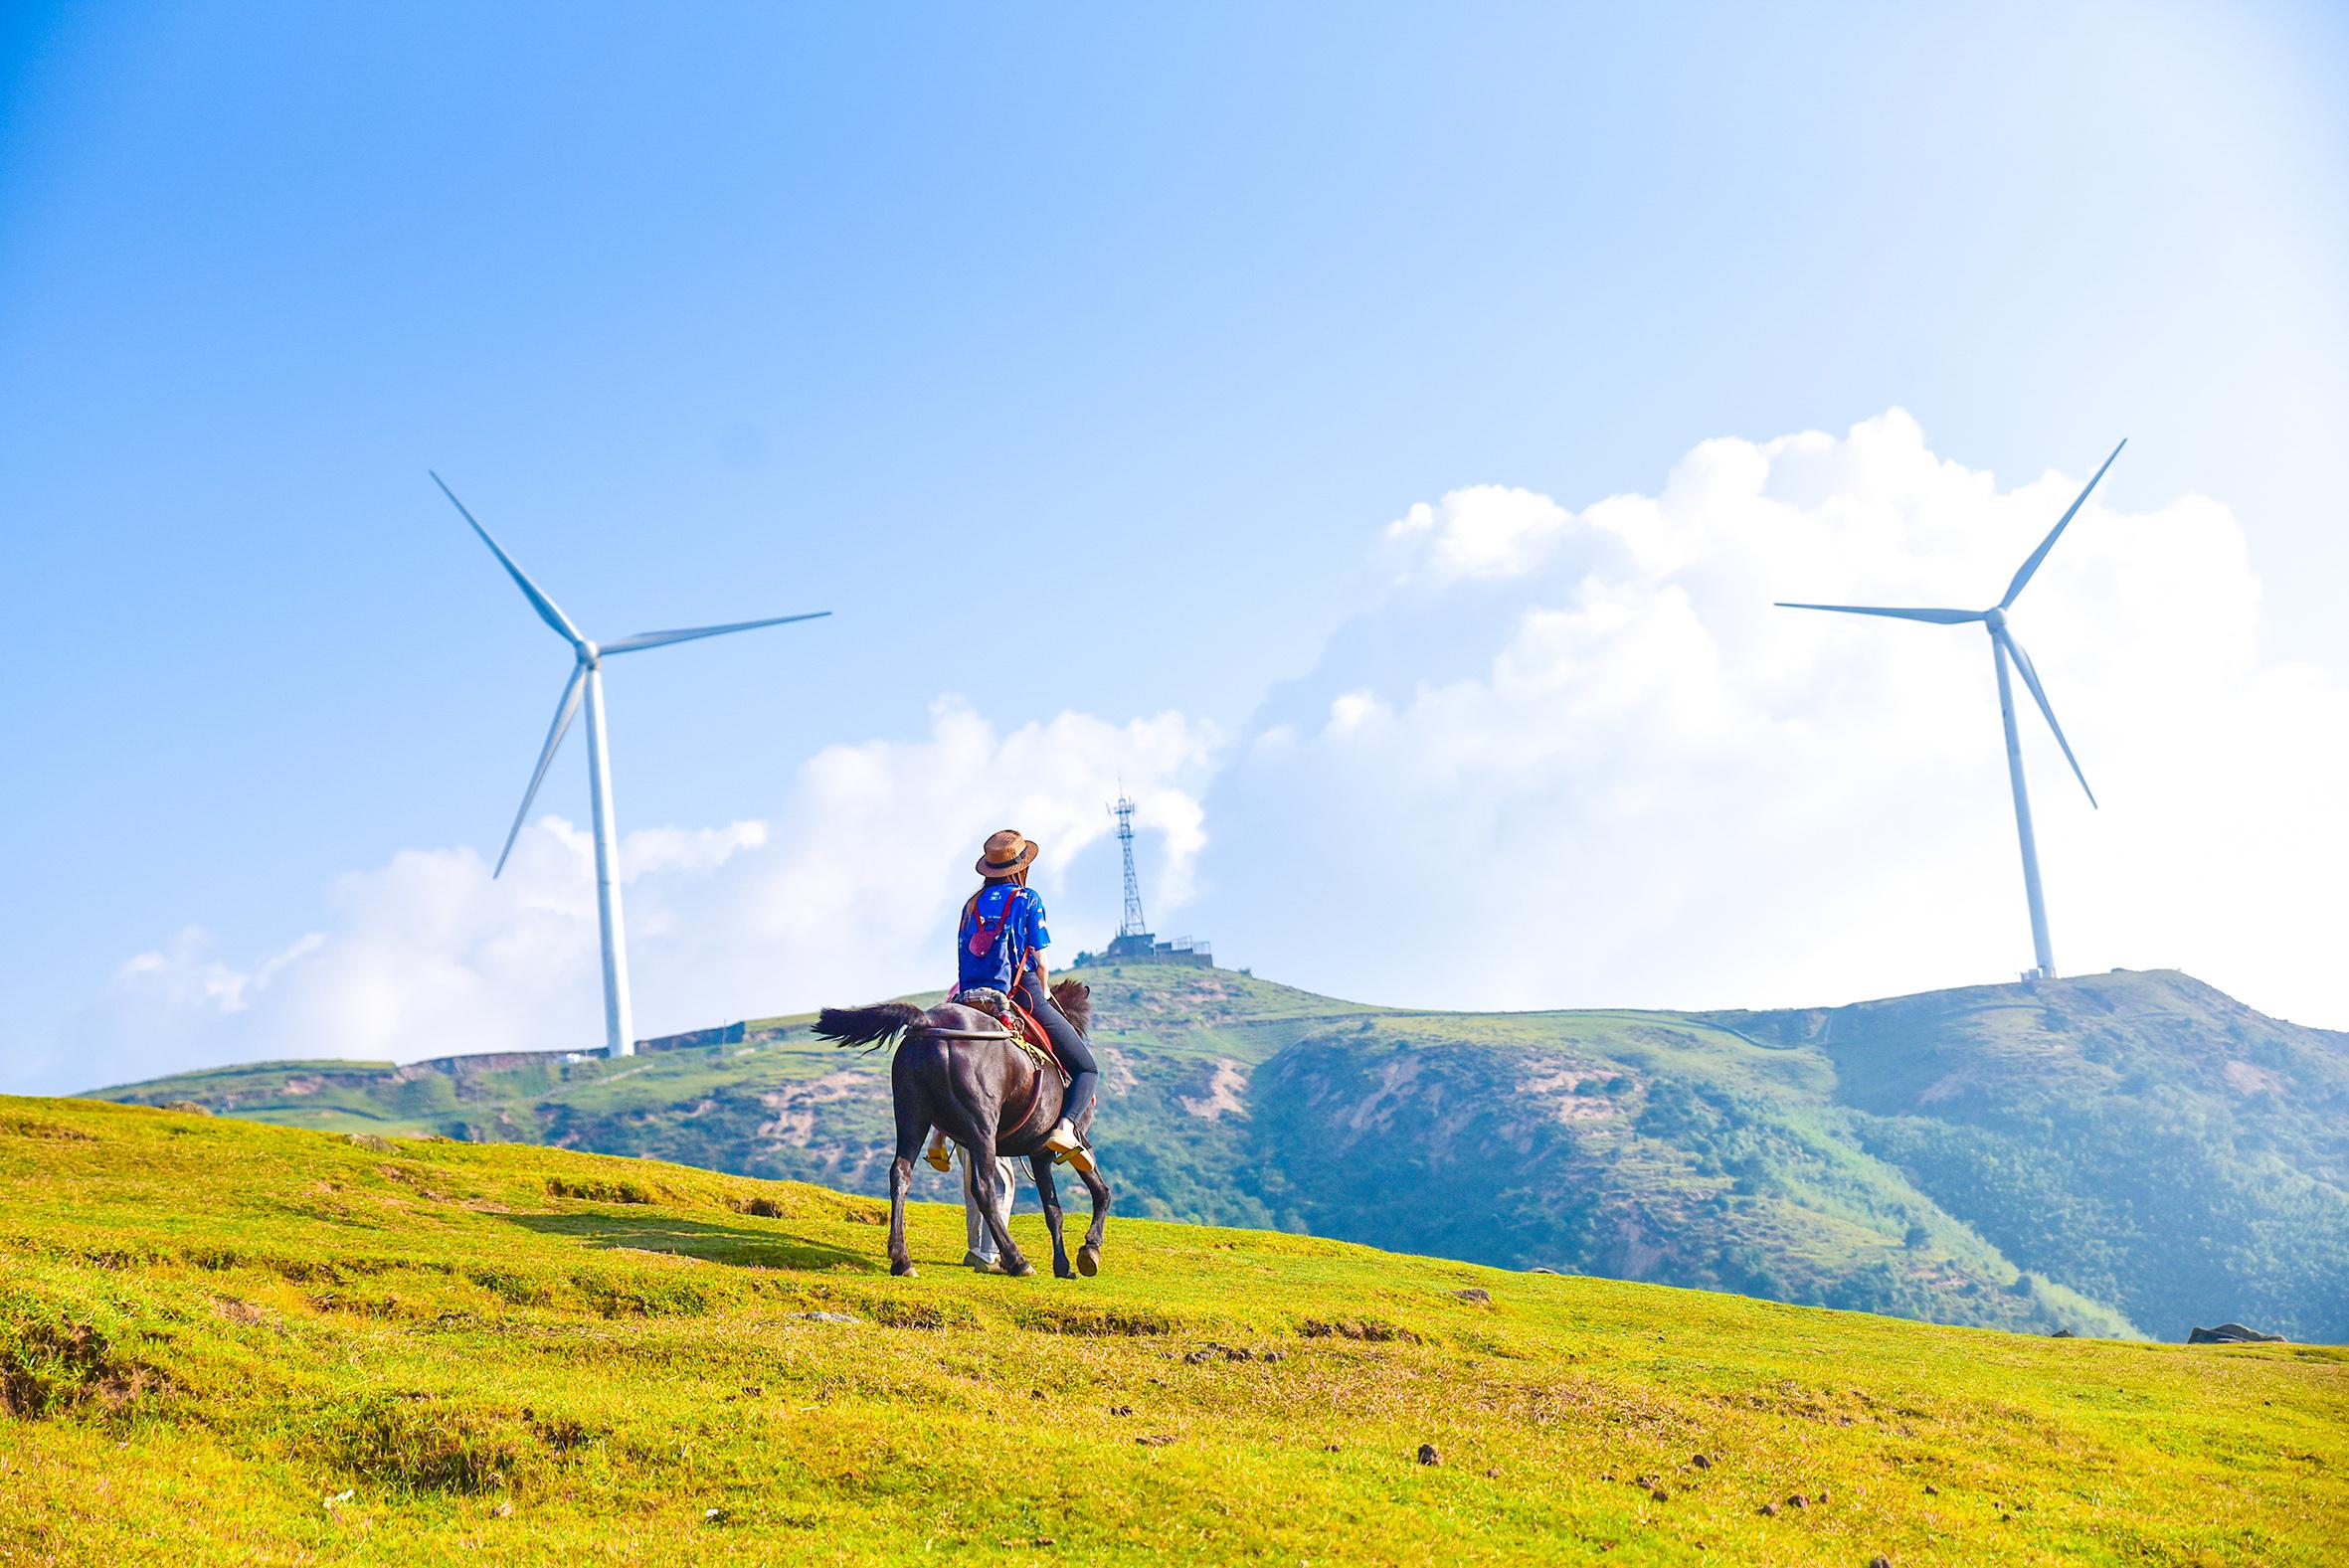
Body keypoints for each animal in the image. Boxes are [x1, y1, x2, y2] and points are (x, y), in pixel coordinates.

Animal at [816, 980, 1108, 1286]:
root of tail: (928, 1020)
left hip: (911, 1114)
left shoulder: (1038, 1154)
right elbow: (1099, 1192)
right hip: (982, 1126)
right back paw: (1016, 1259)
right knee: (983, 1188)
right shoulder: (1065, 1146)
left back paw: (901, 1258)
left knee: (900, 1174)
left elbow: (1054, 1211)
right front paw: (1090, 1249)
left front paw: (1063, 1265)